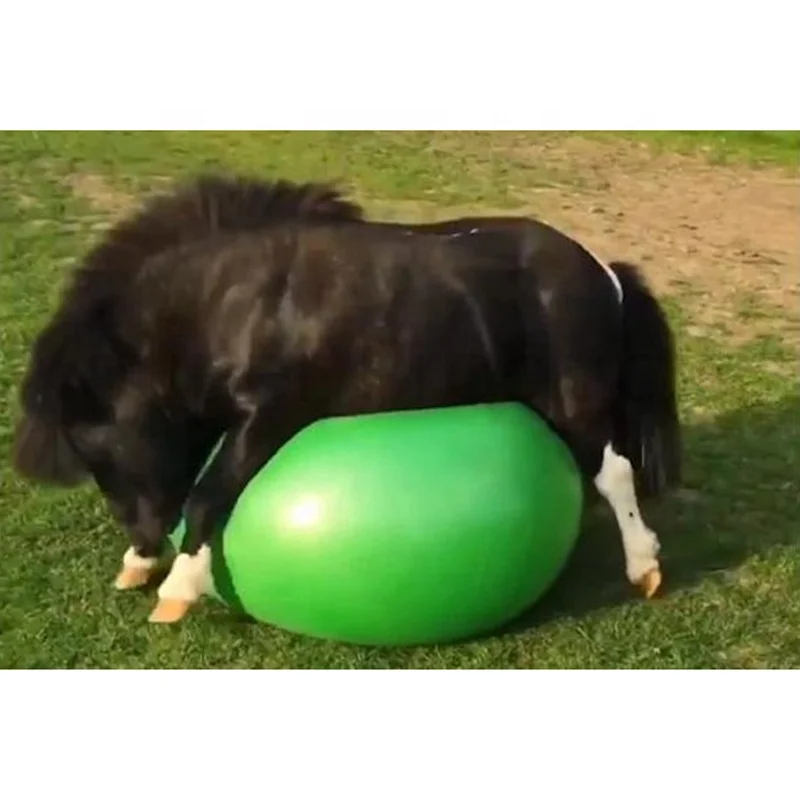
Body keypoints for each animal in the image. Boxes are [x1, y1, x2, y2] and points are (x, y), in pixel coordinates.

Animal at [12, 174, 681, 624]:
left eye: (100, 449)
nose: (143, 546)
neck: (241, 304)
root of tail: (603, 273)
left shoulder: (270, 417)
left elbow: (205, 498)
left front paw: (176, 591)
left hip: (576, 402)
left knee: (615, 473)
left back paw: (644, 566)